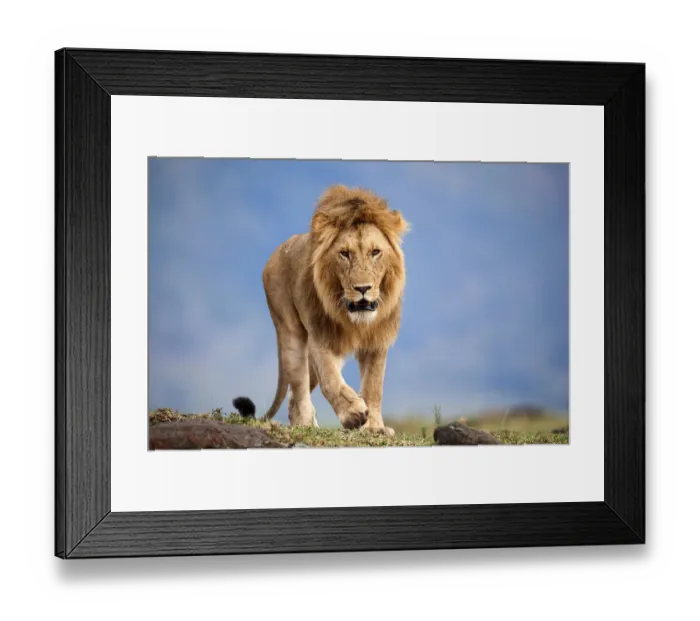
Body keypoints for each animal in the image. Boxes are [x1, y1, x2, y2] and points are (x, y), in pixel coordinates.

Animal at [234, 184, 409, 436]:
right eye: (344, 253)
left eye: (375, 252)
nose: (363, 288)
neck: (354, 319)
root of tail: (275, 253)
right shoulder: (320, 334)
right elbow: (331, 381)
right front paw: (354, 414)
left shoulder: (378, 339)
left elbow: (374, 386)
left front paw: (375, 427)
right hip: (290, 331)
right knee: (298, 383)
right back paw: (305, 423)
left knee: (295, 393)